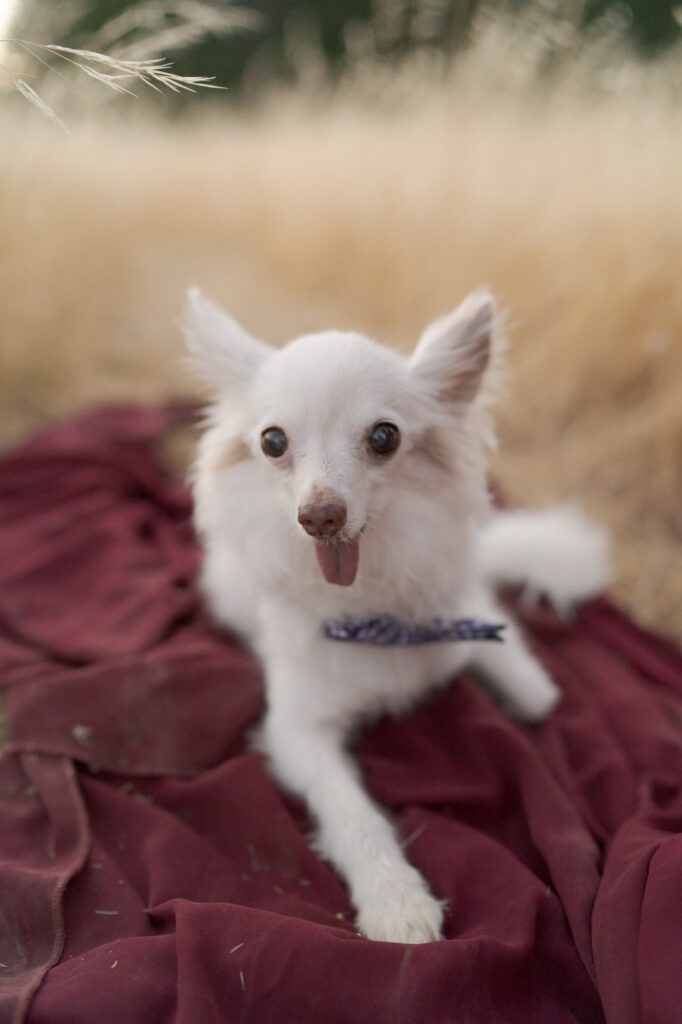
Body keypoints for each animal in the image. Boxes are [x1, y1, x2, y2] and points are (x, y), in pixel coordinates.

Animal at [184, 286, 606, 942]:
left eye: (384, 438)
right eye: (273, 442)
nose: (320, 515)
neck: (372, 610)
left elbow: (513, 666)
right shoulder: (298, 733)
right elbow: (353, 813)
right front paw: (397, 902)